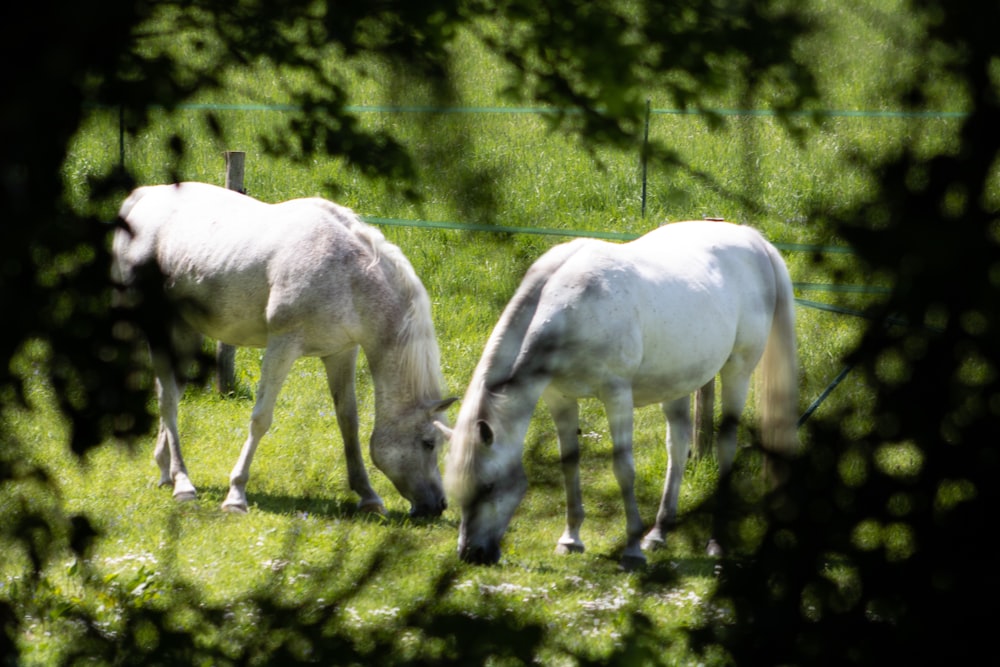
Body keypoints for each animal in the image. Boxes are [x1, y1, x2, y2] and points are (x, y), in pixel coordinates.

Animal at [111, 181, 456, 516]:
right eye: (428, 443)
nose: (438, 506)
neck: (349, 275)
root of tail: (144, 197)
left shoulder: (341, 353)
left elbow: (349, 421)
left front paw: (368, 496)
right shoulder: (283, 346)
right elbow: (261, 418)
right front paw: (236, 495)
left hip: (185, 332)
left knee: (168, 392)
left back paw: (165, 471)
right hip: (156, 327)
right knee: (168, 400)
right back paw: (183, 484)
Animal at [442, 220, 800, 568]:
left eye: (488, 486)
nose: (472, 554)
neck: (572, 306)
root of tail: (752, 239)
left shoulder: (616, 395)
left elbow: (623, 468)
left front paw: (631, 550)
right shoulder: (559, 398)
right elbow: (569, 463)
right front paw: (570, 539)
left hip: (737, 371)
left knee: (725, 446)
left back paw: (716, 541)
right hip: (679, 381)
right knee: (677, 445)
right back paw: (658, 533)